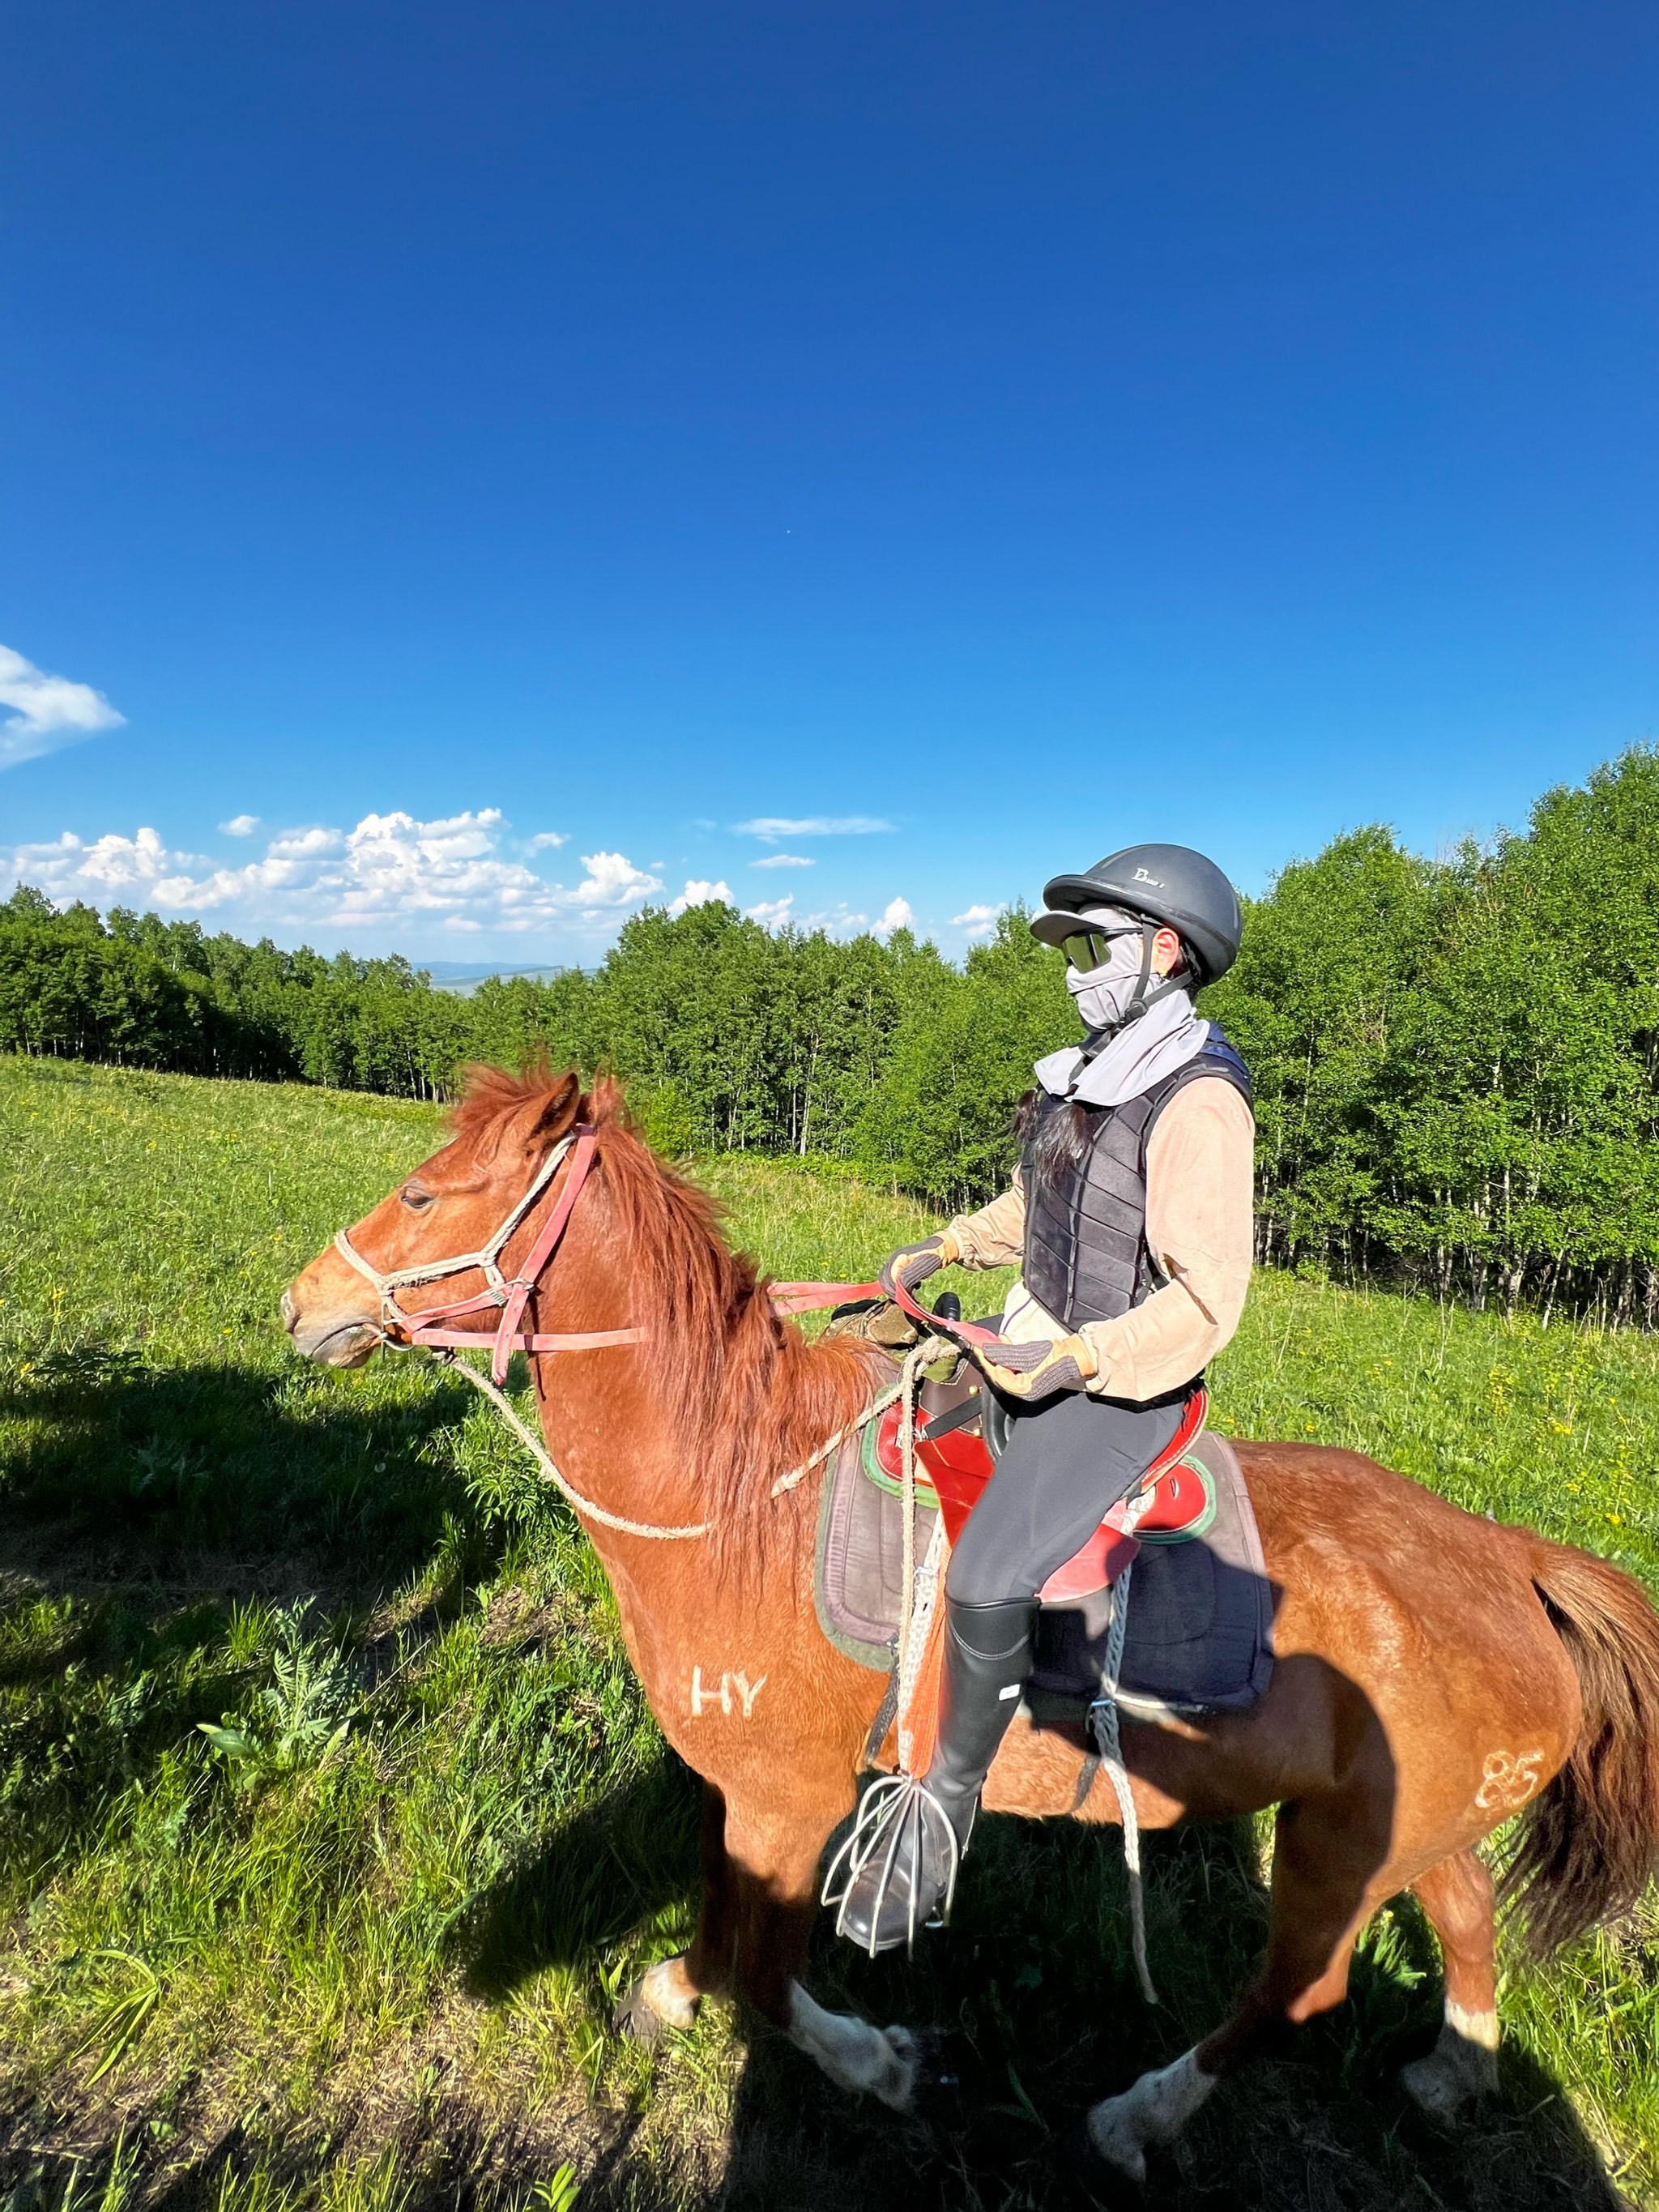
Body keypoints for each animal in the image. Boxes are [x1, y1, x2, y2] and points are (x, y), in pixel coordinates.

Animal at [281, 1065, 1659, 2187]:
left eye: (421, 1192)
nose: (300, 1303)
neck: (742, 1494)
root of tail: (1512, 1554)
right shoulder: (746, 1797)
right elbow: (721, 1933)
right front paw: (670, 1991)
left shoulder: (790, 1800)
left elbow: (766, 1973)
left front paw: (883, 2062)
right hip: (1399, 1823)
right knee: (1467, 1913)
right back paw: (1457, 2070)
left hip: (1337, 1855)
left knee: (1298, 1988)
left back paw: (1135, 2118)